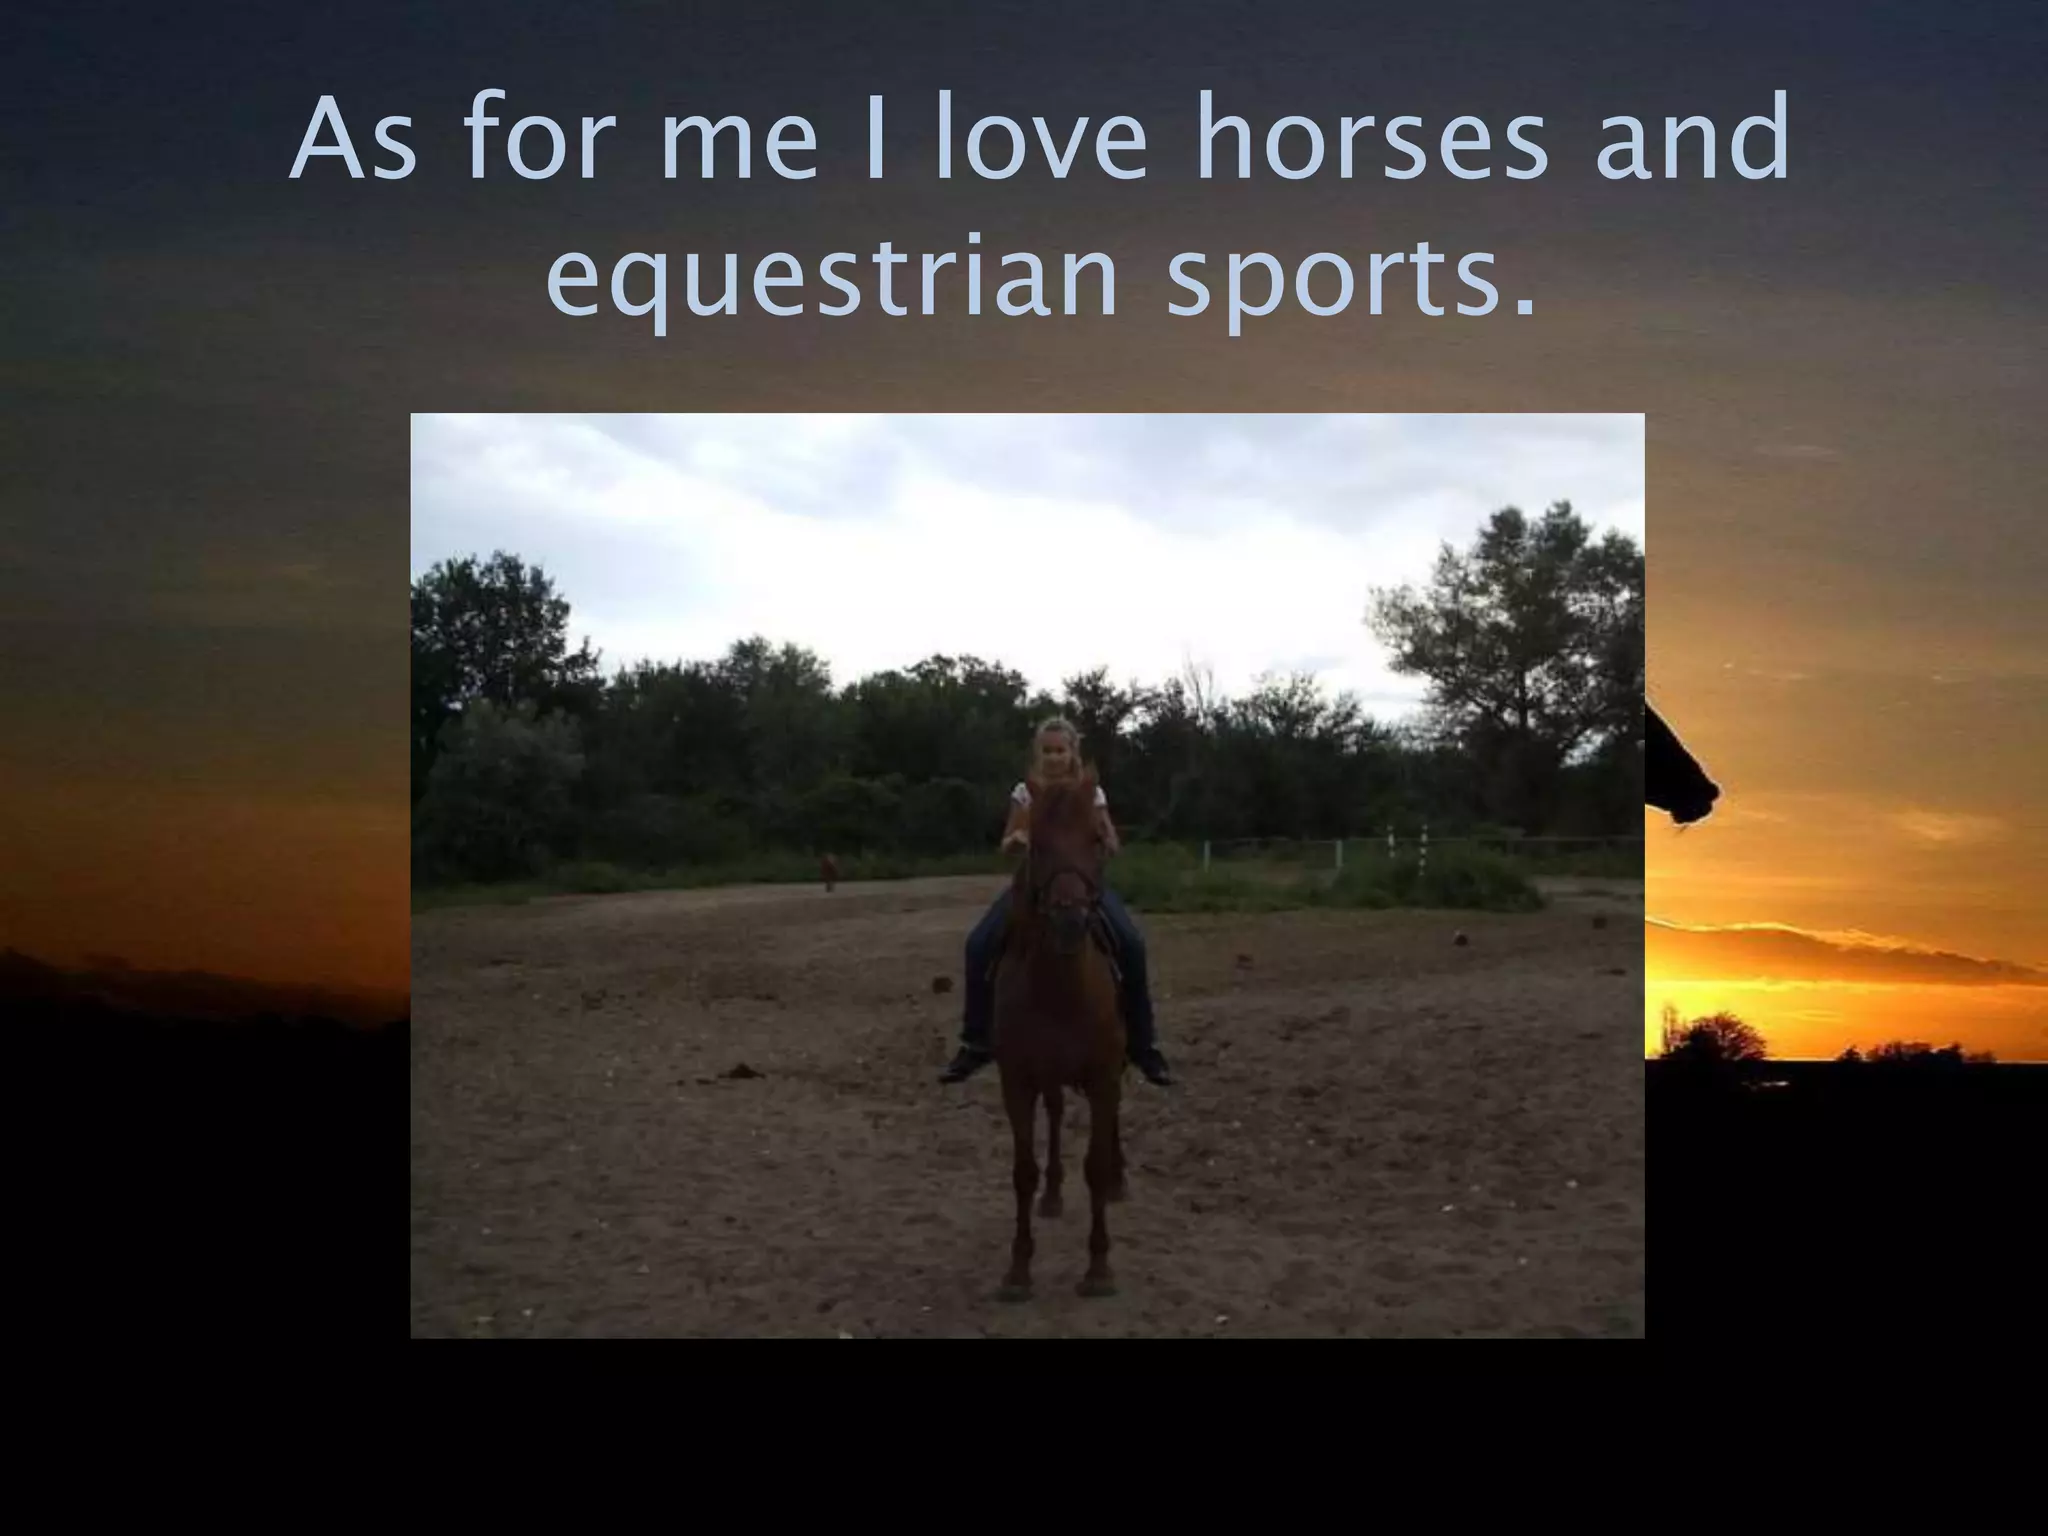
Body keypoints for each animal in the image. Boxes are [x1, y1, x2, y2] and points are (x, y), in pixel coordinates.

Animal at [990, 767, 1127, 1301]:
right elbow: (1022, 1171)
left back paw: (1120, 1180)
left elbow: (1096, 1165)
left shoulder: (1104, 1075)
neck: (1061, 994)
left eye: (1095, 839)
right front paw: (1018, 1270)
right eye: (1039, 845)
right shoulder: (1017, 1081)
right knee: (1052, 1117)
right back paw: (1052, 1194)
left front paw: (1099, 1268)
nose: (1070, 921)